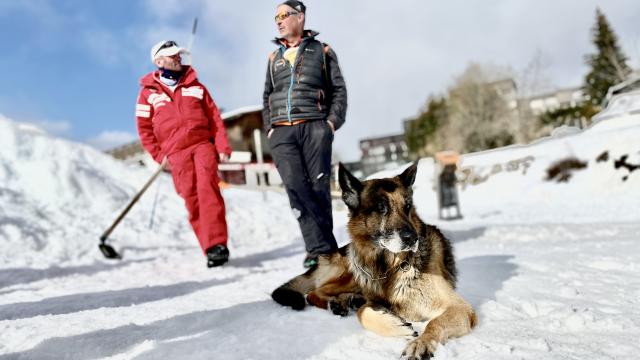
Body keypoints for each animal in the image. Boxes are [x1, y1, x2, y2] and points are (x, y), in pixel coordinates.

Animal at [270, 164, 476, 360]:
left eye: (407, 206)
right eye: (381, 207)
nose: (412, 239)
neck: (390, 267)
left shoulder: (459, 308)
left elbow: (434, 322)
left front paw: (421, 343)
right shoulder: (373, 300)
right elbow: (362, 313)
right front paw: (396, 327)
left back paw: (347, 300)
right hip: (352, 272)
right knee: (315, 291)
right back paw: (337, 303)